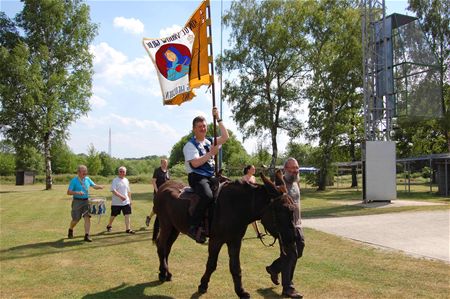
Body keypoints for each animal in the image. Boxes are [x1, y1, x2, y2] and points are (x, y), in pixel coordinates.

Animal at [151, 172, 284, 298]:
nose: (289, 237)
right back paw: (162, 274)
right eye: (280, 210)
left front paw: (241, 291)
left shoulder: (235, 241)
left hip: (175, 228)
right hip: (166, 225)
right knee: (161, 245)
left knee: (167, 248)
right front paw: (203, 286)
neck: (234, 206)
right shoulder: (216, 240)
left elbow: (235, 267)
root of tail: (163, 187)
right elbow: (211, 265)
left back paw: (166, 273)